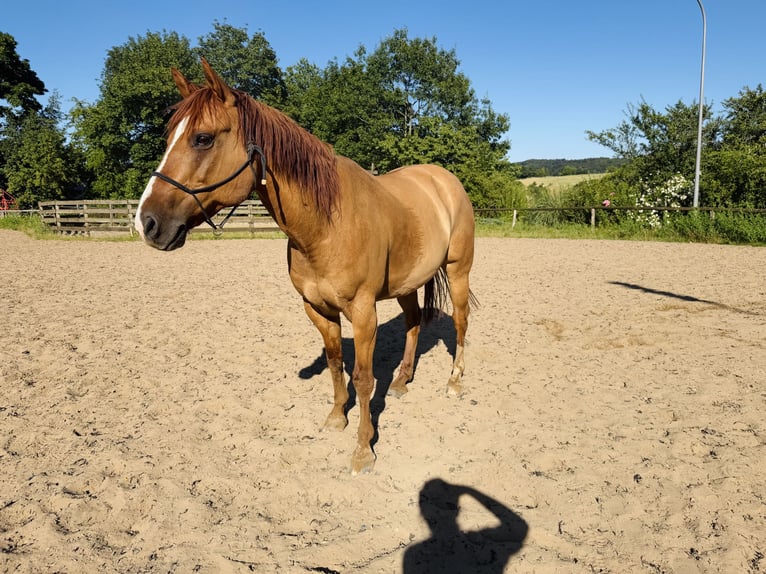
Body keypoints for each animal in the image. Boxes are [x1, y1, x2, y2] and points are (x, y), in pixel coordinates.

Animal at [136, 58, 476, 474]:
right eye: (170, 136)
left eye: (203, 138)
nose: (147, 223)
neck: (326, 224)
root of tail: (444, 180)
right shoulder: (317, 308)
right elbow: (335, 363)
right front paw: (336, 418)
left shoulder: (363, 313)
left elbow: (363, 378)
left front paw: (363, 450)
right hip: (407, 284)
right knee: (413, 323)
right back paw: (401, 381)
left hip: (459, 272)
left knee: (460, 324)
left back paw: (455, 382)